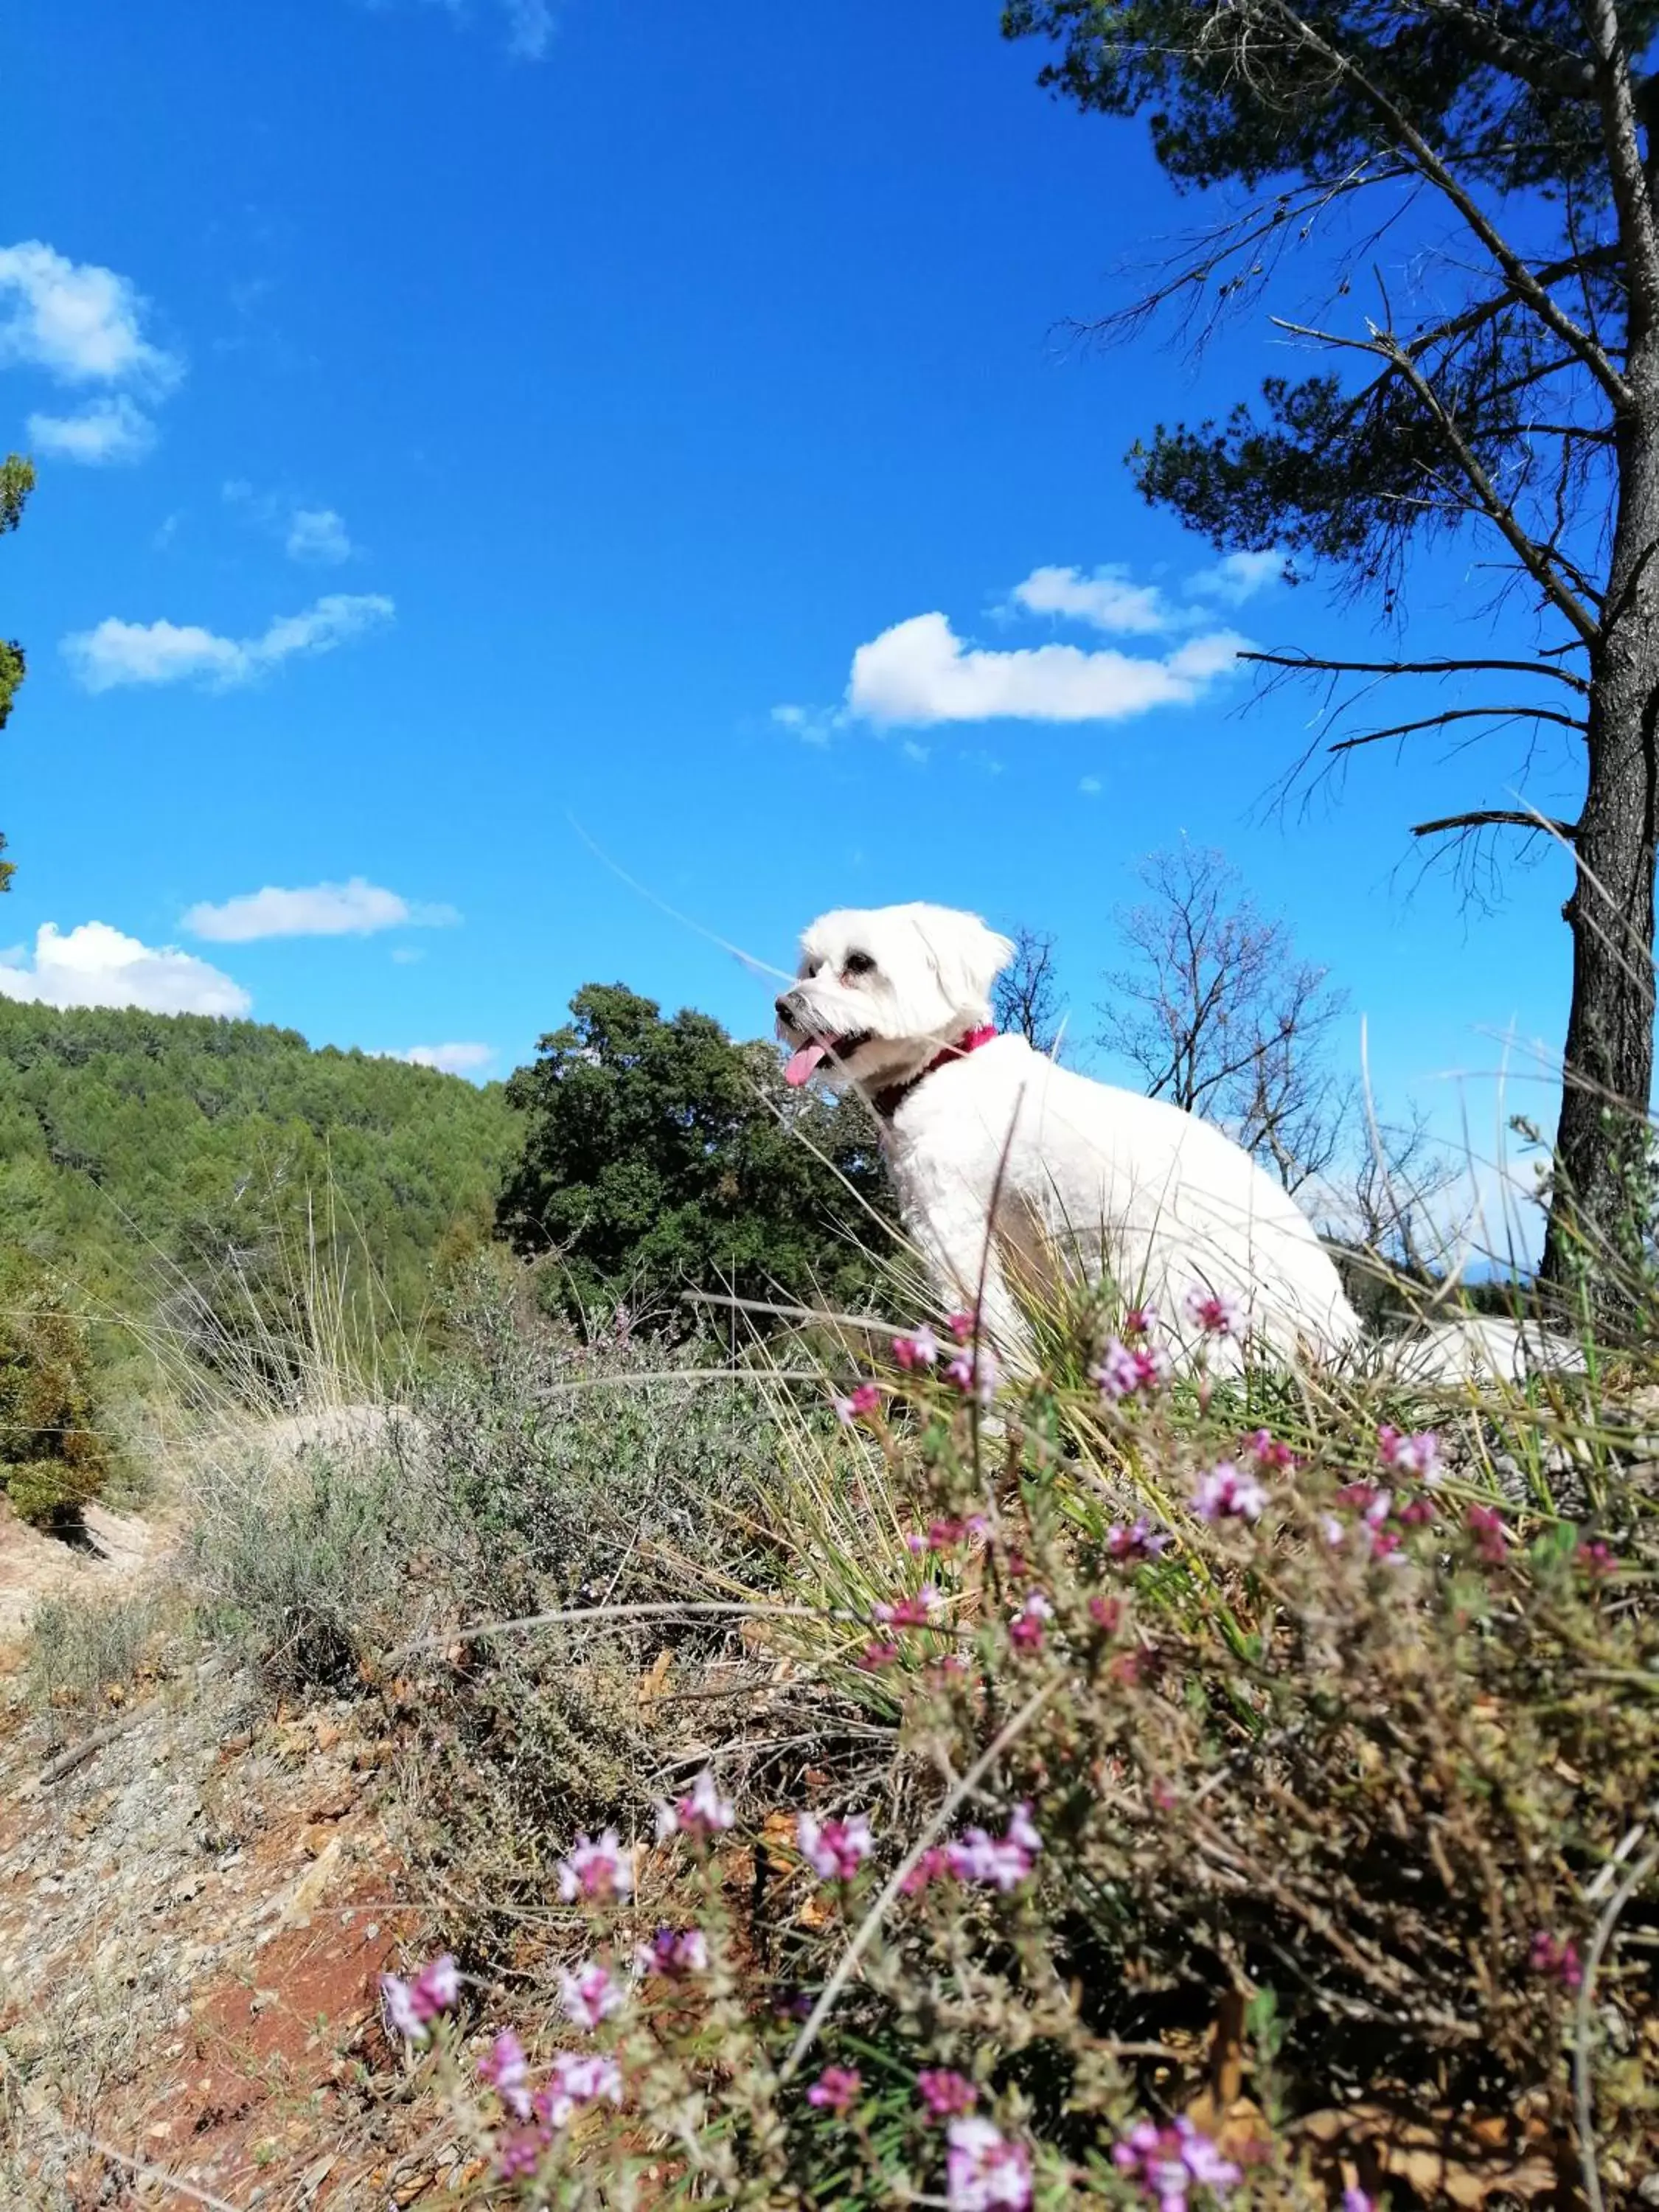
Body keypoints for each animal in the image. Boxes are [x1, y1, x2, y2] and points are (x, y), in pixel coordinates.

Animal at [779, 898, 1363, 1363]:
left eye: (860, 964)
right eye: (811, 966)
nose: (783, 1005)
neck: (943, 1066)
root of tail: (1335, 1323)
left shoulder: (954, 1229)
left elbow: (994, 1330)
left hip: (1172, 1289)